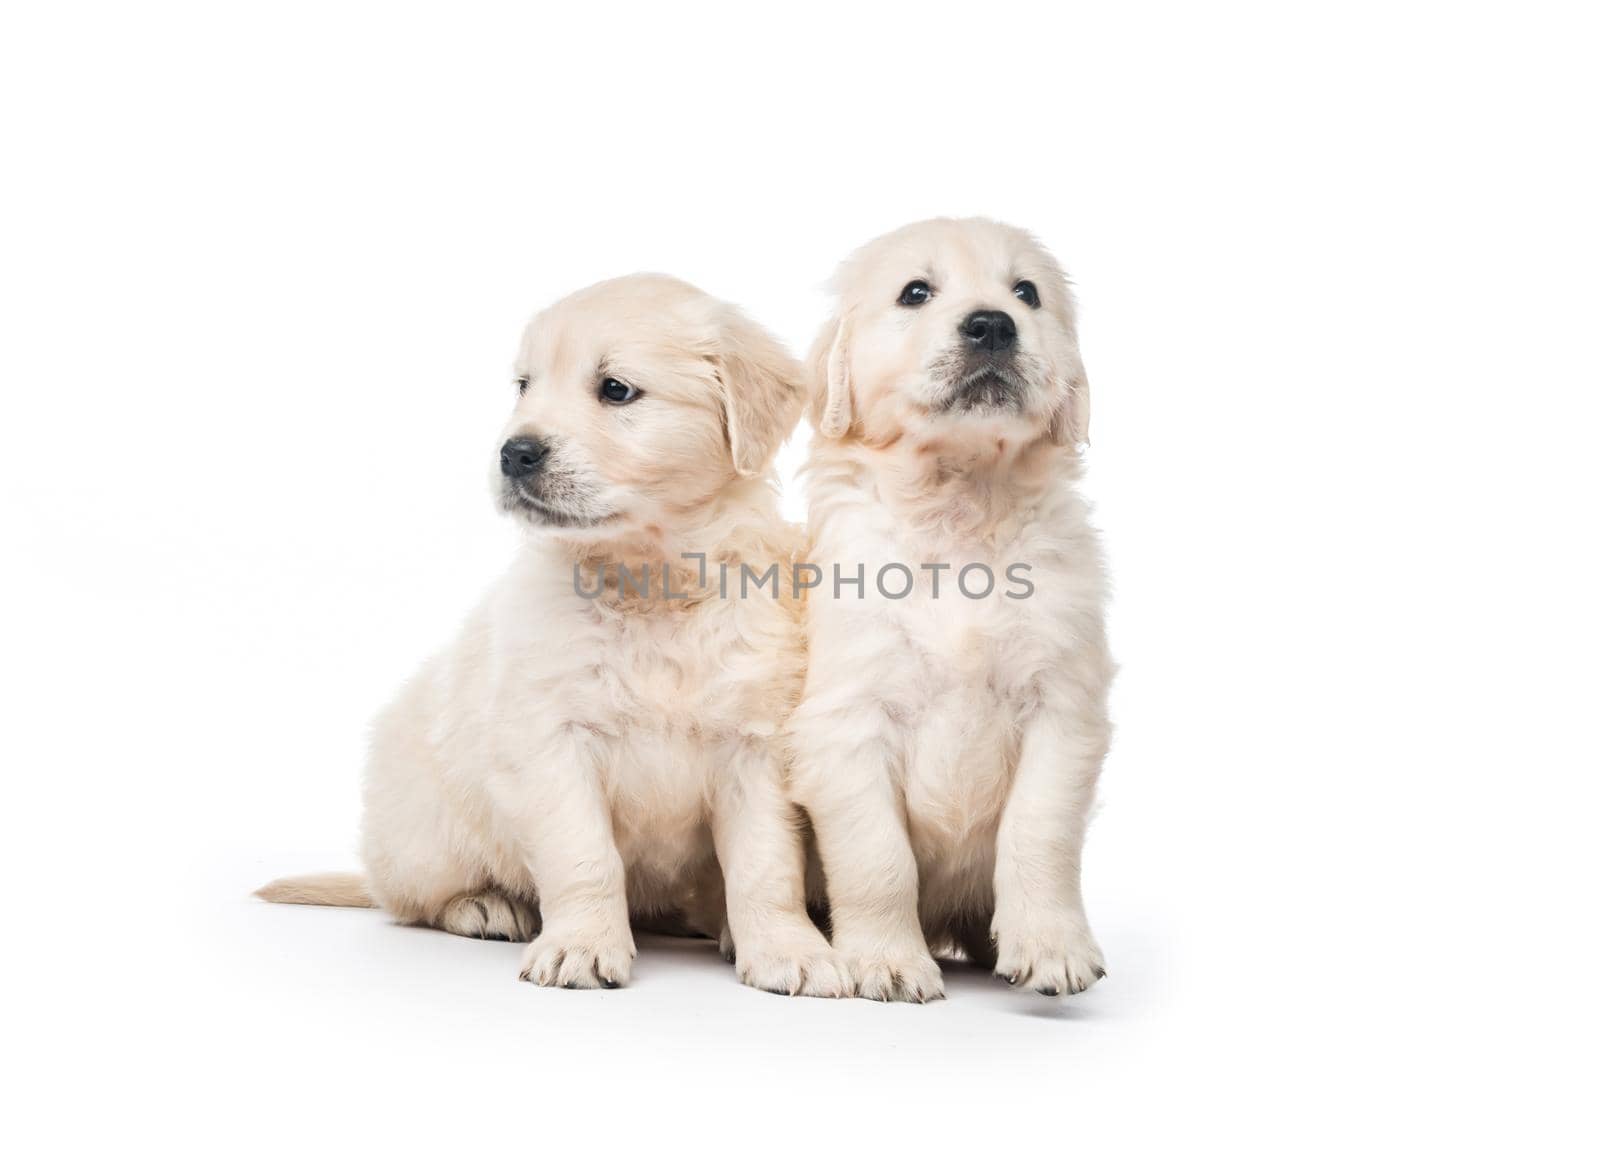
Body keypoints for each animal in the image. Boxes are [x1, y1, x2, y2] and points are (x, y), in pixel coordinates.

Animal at [259, 275, 851, 991]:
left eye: (615, 389)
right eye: (523, 385)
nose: (514, 453)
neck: (646, 583)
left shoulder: (755, 745)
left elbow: (767, 866)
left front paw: (788, 949)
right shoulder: (550, 741)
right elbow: (584, 856)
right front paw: (582, 946)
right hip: (424, 828)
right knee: (413, 899)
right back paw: (487, 906)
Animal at [787, 217, 1113, 997]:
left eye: (1026, 292)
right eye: (915, 292)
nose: (992, 324)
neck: (959, 506)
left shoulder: (1063, 705)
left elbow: (1040, 830)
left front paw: (1052, 946)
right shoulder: (847, 719)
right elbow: (877, 856)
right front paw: (886, 959)